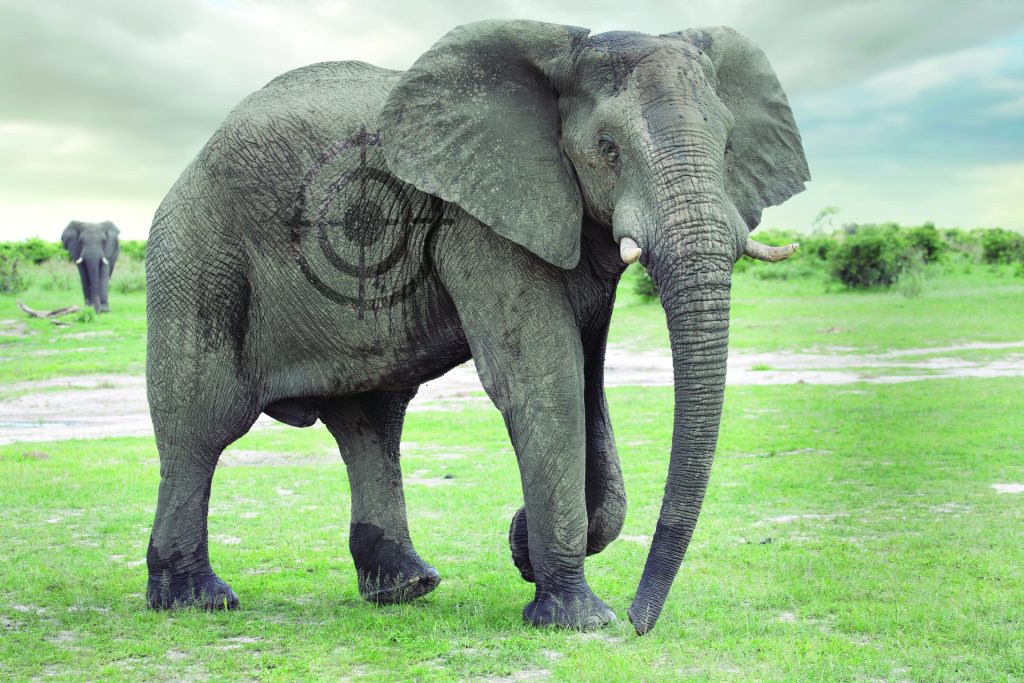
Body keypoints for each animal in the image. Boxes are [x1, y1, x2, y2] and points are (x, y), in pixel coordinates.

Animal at [144, 19, 807, 635]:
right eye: (608, 148)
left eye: (727, 147)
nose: (640, 624)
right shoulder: (477, 219)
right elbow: (544, 379)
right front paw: (579, 620)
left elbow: (587, 384)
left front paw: (523, 547)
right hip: (197, 254)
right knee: (202, 423)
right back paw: (197, 601)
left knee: (371, 420)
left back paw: (406, 588)